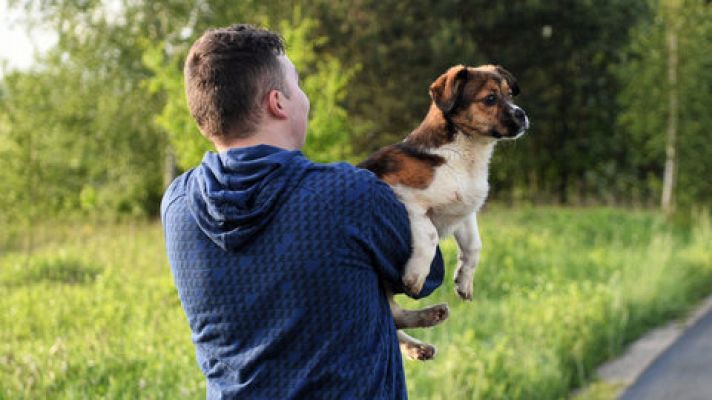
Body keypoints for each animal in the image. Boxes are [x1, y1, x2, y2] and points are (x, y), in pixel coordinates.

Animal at [358, 63, 524, 360]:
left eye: (509, 94)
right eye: (490, 99)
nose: (524, 116)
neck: (462, 155)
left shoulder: (465, 214)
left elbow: (474, 246)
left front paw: (464, 281)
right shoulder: (403, 196)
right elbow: (430, 233)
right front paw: (415, 276)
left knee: (394, 317)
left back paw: (424, 334)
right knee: (392, 317)